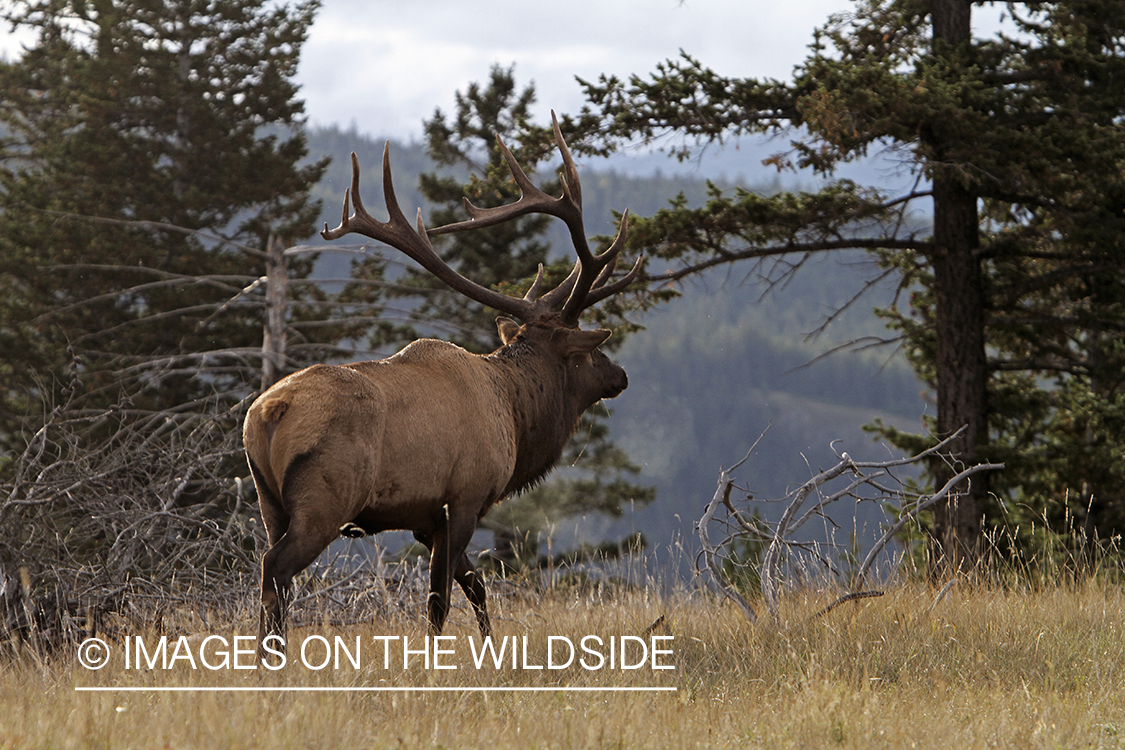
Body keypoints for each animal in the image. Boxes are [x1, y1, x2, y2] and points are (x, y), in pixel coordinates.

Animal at [244, 114, 640, 651]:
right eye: (587, 349)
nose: (620, 375)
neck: (515, 416)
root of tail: (267, 414)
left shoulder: (425, 517)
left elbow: (475, 586)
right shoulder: (466, 495)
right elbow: (440, 598)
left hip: (268, 501)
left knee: (271, 574)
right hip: (325, 497)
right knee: (276, 568)